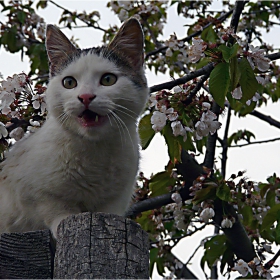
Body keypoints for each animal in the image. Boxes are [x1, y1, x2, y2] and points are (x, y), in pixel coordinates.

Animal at [0, 17, 149, 237]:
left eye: (108, 79)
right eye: (69, 82)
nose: (85, 96)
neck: (95, 154)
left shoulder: (115, 201)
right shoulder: (31, 192)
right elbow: (55, 209)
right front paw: (62, 222)